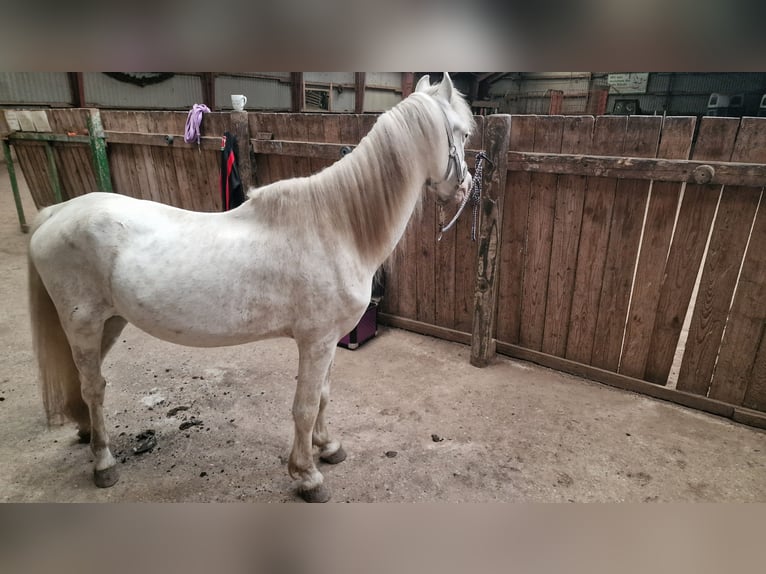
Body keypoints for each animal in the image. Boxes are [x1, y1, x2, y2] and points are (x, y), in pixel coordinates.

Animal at [28, 73, 474, 504]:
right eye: (463, 134)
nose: (467, 187)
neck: (336, 227)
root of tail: (56, 212)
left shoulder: (329, 341)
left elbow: (324, 395)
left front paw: (328, 447)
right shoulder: (315, 341)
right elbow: (305, 406)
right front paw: (307, 475)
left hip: (111, 321)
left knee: (88, 384)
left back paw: (88, 434)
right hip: (84, 325)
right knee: (94, 388)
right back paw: (104, 463)